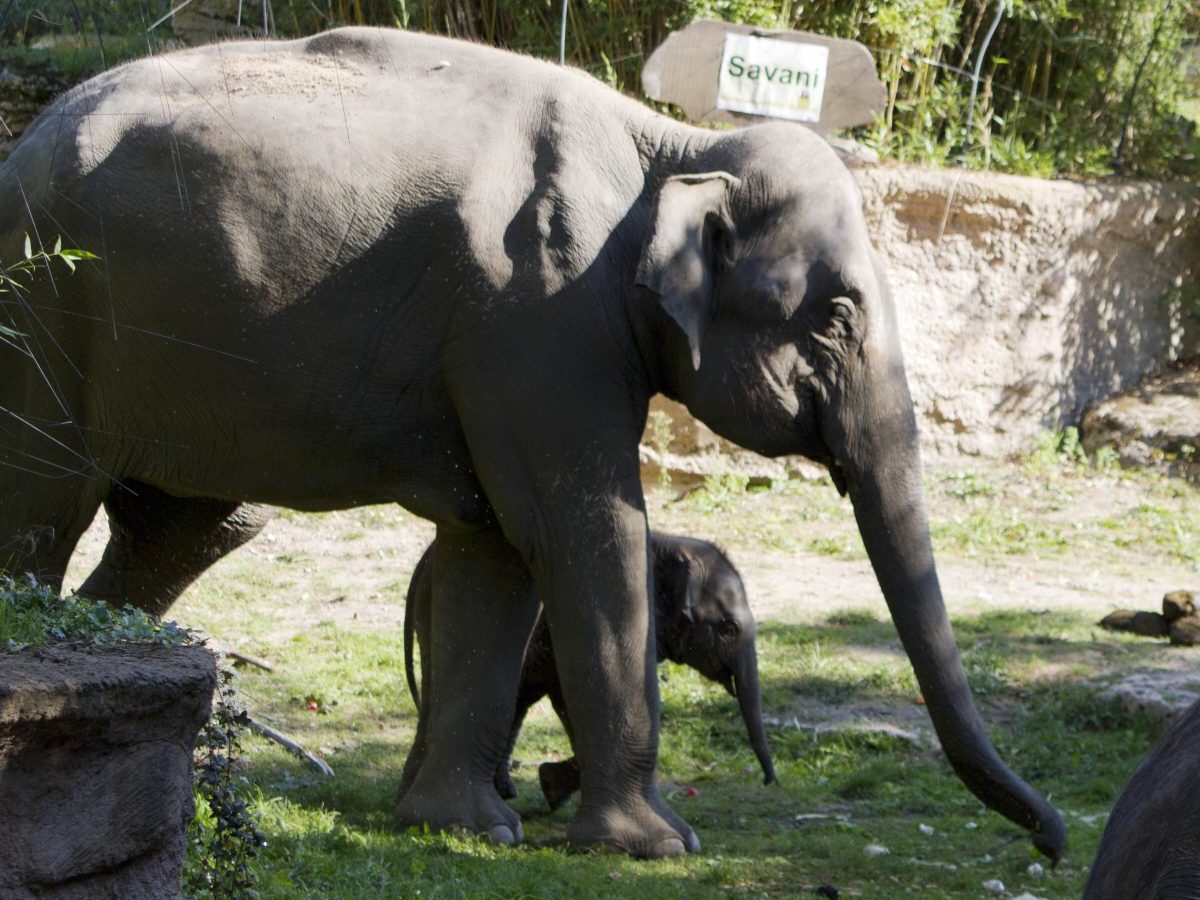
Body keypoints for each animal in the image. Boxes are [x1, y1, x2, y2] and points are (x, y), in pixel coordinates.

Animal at [405, 535, 777, 811]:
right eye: (728, 627)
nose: (769, 781)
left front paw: (552, 789)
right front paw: (552, 788)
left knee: (515, 702)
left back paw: (503, 792)